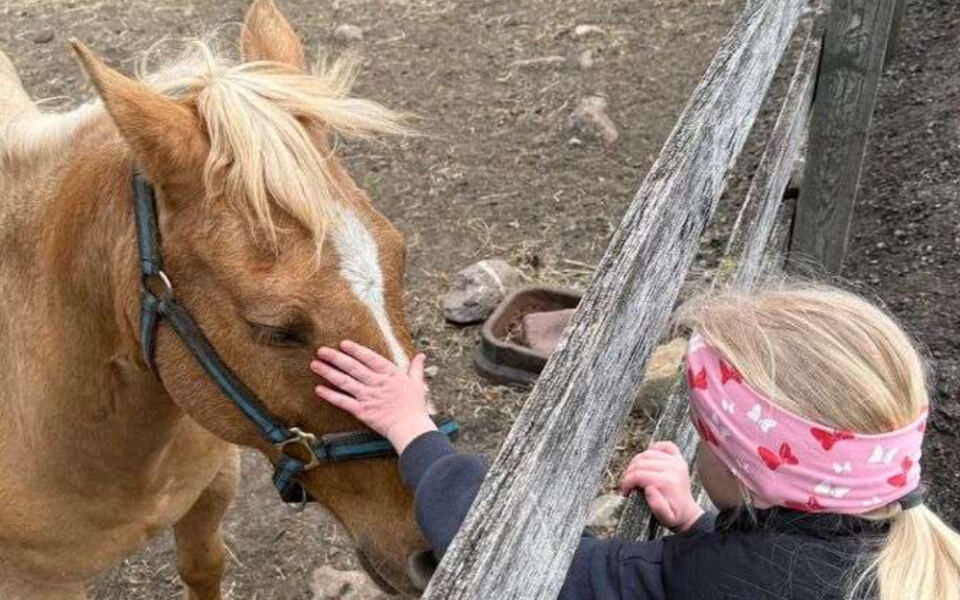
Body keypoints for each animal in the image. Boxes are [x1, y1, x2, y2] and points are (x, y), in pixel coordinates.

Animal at [0, 0, 439, 597]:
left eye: (398, 255)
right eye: (274, 328)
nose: (430, 551)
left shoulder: (210, 493)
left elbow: (203, 567)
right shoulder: (37, 581)